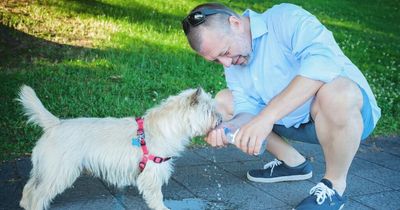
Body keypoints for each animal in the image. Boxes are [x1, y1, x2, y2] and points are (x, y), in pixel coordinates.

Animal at [17, 85, 220, 210]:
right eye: (209, 110)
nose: (220, 119)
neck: (167, 126)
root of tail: (55, 124)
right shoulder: (153, 172)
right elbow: (156, 195)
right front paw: (161, 207)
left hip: (46, 168)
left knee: (29, 188)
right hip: (59, 171)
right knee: (38, 194)